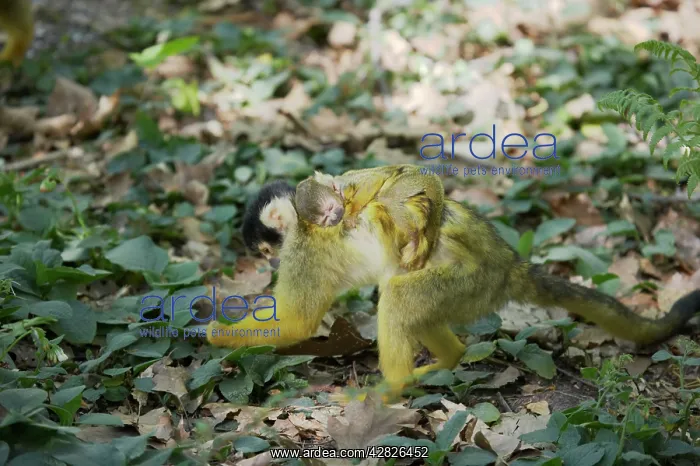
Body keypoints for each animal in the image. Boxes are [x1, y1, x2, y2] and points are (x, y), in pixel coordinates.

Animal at [211, 165, 700, 402]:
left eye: (267, 250)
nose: (271, 262)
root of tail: (508, 263)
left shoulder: (306, 248)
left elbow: (296, 323)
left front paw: (211, 334)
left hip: (471, 281)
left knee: (398, 295)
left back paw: (392, 388)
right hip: (466, 290)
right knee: (404, 292)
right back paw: (446, 361)